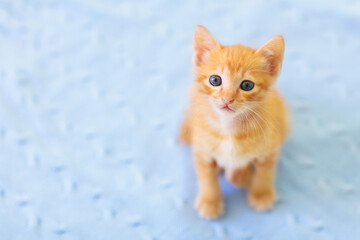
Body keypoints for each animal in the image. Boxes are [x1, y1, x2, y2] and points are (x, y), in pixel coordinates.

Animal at [180, 25, 290, 218]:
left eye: (247, 85)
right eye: (215, 80)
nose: (227, 99)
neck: (229, 128)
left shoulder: (270, 149)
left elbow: (265, 173)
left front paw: (261, 194)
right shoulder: (202, 151)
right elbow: (206, 177)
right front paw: (210, 201)